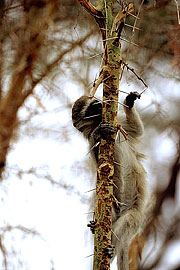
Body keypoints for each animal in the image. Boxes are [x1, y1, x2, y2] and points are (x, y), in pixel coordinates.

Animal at [71, 92, 146, 270]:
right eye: (91, 109)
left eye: (95, 101)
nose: (100, 104)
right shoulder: (91, 141)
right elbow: (95, 147)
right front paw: (98, 133)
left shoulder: (120, 124)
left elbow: (137, 130)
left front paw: (129, 102)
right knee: (116, 216)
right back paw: (105, 244)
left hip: (135, 213)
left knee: (126, 222)